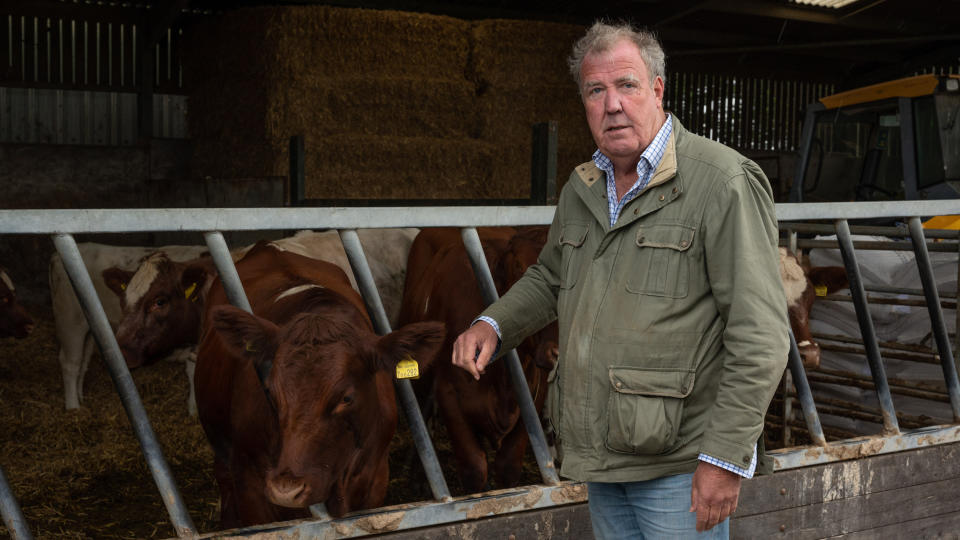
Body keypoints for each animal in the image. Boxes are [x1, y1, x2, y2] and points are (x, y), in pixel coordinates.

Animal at [48, 243, 210, 412]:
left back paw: (80, 398)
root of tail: (56, 256)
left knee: (84, 360)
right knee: (70, 363)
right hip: (70, 322)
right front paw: (194, 409)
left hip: (88, 329)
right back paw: (73, 407)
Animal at [400, 227, 564, 494]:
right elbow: (474, 469)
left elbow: (508, 467)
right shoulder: (449, 395)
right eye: (519, 268)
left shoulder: (533, 396)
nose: (558, 352)